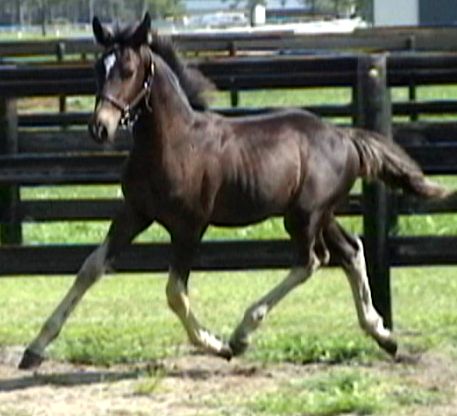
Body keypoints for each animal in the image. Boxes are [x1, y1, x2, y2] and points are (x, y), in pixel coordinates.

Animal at [17, 13, 448, 370]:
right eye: (97, 68)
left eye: (128, 69)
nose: (99, 128)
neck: (174, 142)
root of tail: (346, 137)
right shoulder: (134, 213)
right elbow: (90, 268)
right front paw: (34, 349)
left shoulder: (189, 226)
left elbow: (175, 292)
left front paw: (216, 344)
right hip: (320, 213)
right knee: (349, 250)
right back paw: (383, 335)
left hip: (304, 215)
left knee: (312, 260)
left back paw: (242, 334)